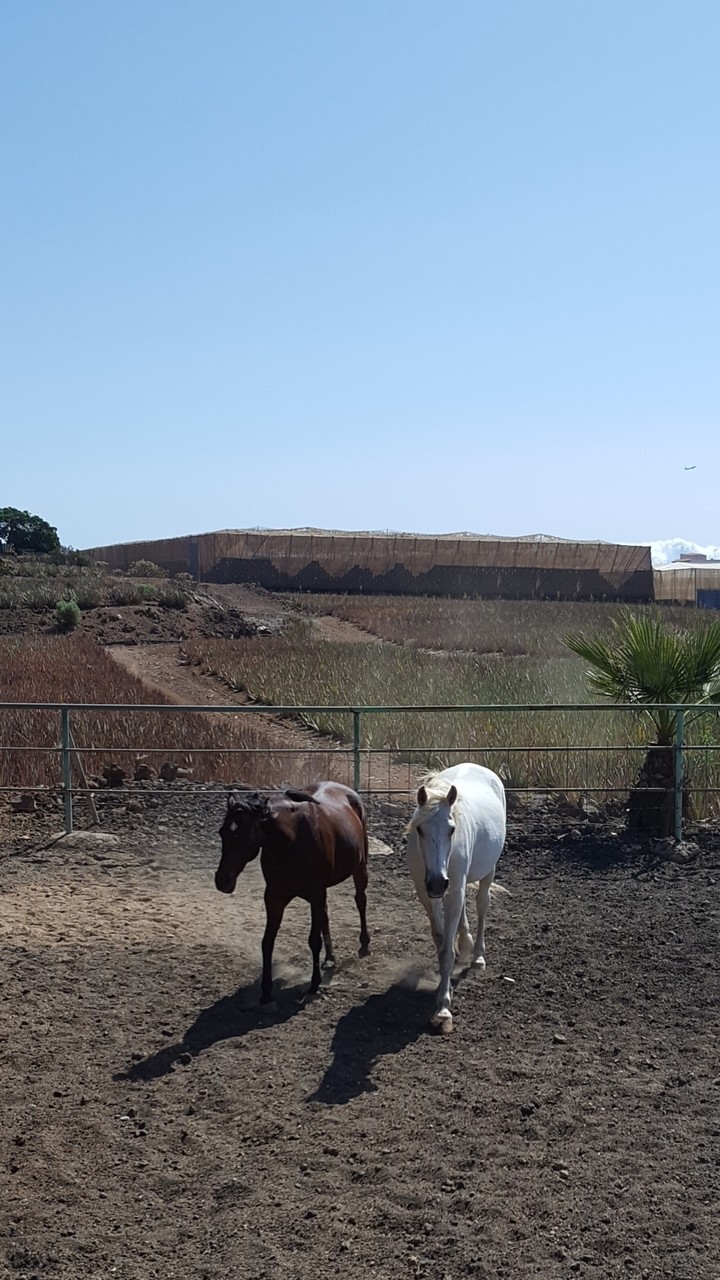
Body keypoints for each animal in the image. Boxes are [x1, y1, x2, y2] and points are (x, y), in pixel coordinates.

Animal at [215, 781, 370, 1007]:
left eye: (242, 835)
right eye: (222, 833)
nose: (222, 881)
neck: (291, 841)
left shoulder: (315, 893)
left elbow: (313, 940)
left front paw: (314, 985)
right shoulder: (274, 897)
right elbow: (267, 941)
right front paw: (266, 992)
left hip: (360, 867)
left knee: (360, 901)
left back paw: (364, 945)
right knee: (326, 915)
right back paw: (330, 959)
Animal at [406, 762, 506, 1033]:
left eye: (452, 829)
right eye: (420, 829)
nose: (437, 882)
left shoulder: (452, 887)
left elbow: (445, 952)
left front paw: (443, 1008)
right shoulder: (425, 891)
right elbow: (442, 941)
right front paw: (446, 986)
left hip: (486, 872)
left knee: (482, 906)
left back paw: (478, 955)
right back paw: (466, 944)